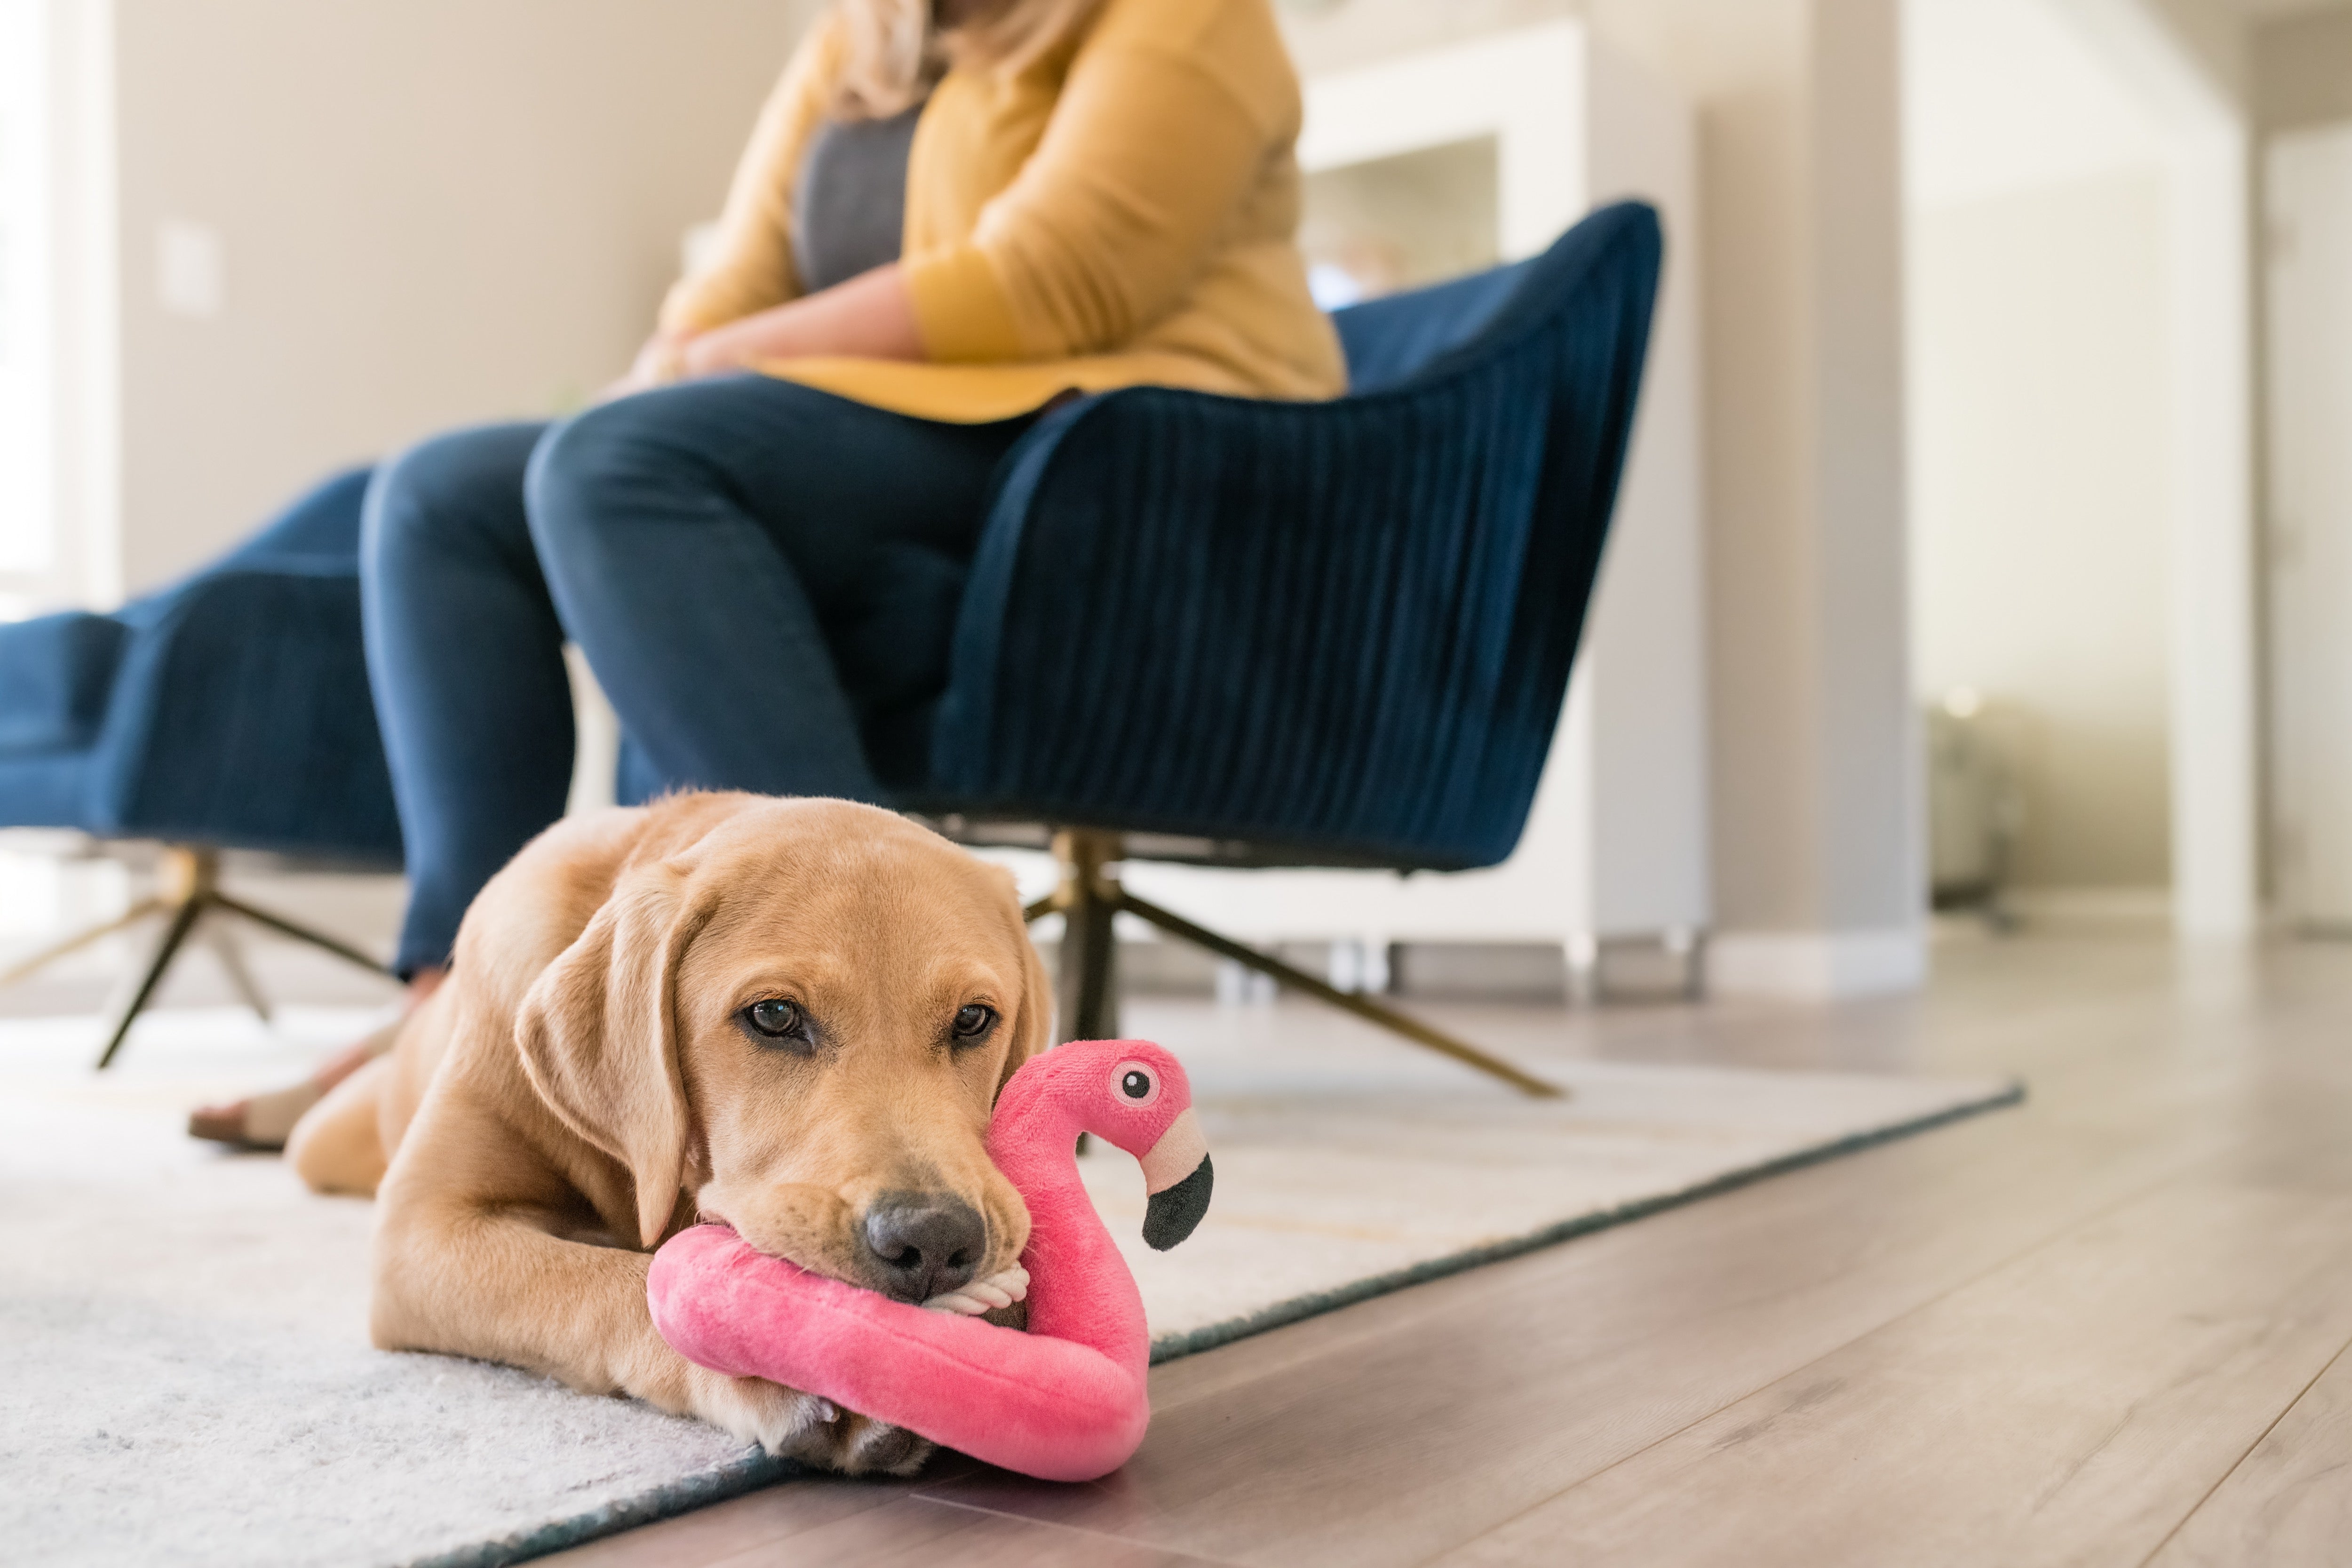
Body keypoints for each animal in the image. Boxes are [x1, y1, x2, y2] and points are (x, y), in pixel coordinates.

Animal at [280, 789, 1044, 1476]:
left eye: (973, 1019)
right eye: (773, 1015)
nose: (937, 1239)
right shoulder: (422, 1231)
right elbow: (613, 1284)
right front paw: (775, 1362)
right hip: (327, 1141)